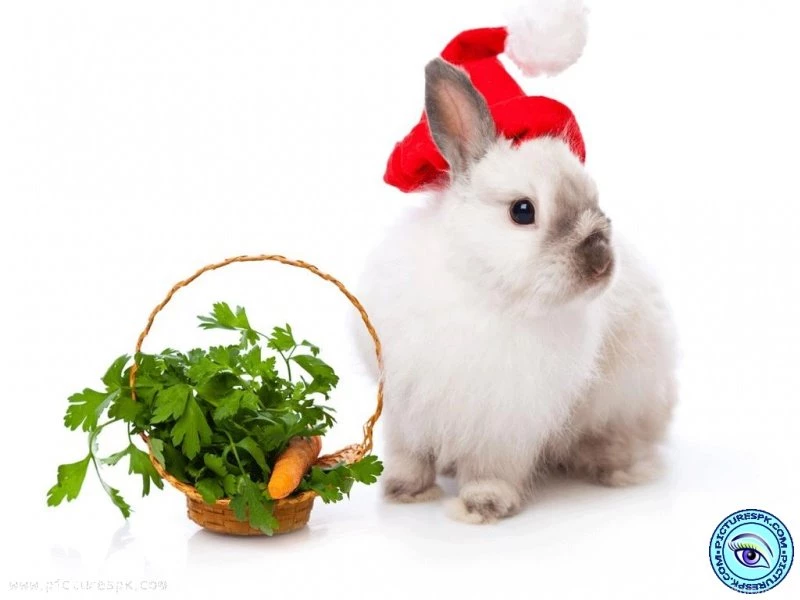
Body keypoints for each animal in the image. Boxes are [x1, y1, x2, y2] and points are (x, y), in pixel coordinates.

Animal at [355, 58, 678, 523]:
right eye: (522, 211)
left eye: (595, 200)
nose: (600, 263)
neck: (483, 291)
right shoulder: (405, 407)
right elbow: (409, 454)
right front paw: (403, 490)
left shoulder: (506, 422)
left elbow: (489, 467)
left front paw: (484, 505)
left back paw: (607, 465)